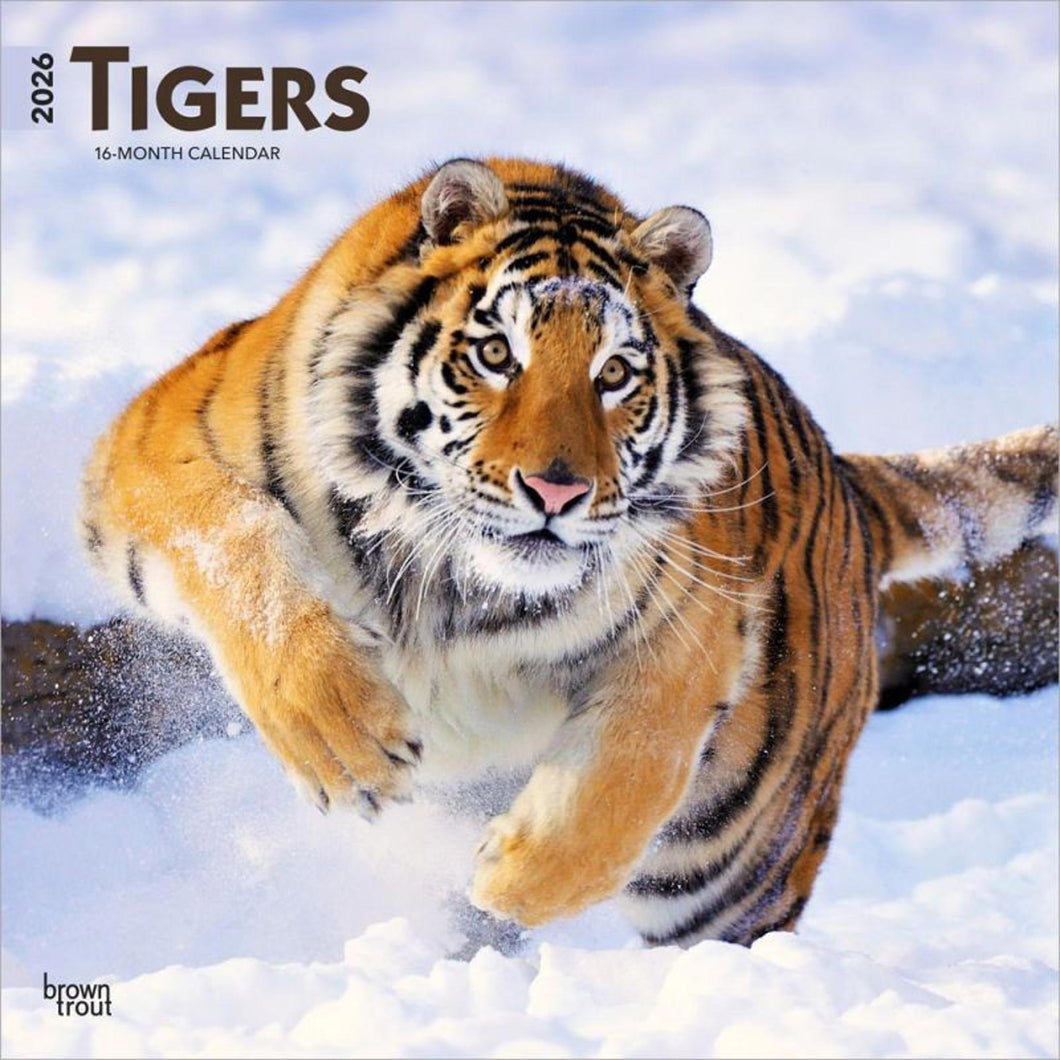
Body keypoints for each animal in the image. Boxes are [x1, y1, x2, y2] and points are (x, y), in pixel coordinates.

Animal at [80, 157, 1059, 947]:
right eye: (495, 353)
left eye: (615, 373)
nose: (556, 493)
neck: (453, 580)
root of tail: (849, 484)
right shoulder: (152, 446)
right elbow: (238, 550)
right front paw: (344, 742)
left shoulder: (695, 619)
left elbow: (628, 769)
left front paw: (514, 877)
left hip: (737, 860)